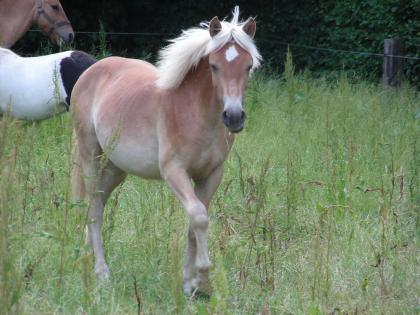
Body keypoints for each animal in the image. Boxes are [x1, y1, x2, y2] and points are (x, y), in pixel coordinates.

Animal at [70, 6, 260, 296]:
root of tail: (91, 71)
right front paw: (203, 279)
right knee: (93, 208)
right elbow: (199, 217)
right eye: (214, 66)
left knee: (98, 203)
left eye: (248, 66)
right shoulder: (174, 171)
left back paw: (87, 255)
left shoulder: (211, 175)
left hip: (115, 169)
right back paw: (101, 272)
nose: (234, 117)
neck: (195, 112)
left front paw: (190, 283)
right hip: (90, 155)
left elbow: (194, 224)